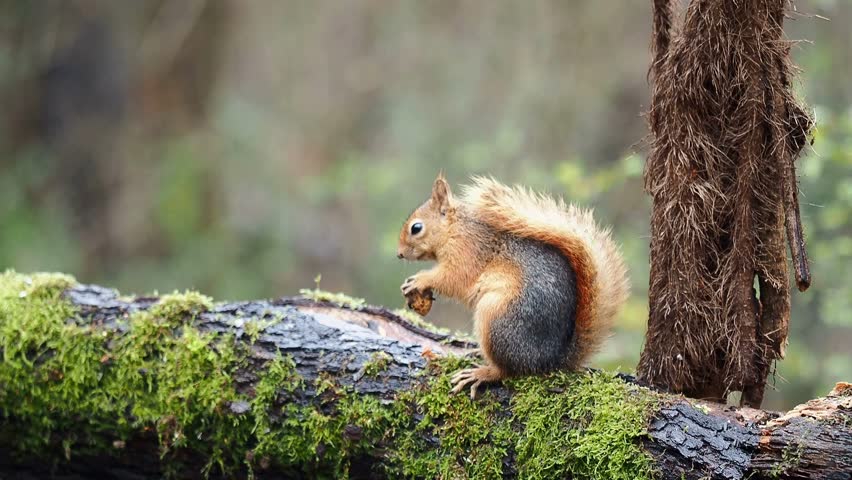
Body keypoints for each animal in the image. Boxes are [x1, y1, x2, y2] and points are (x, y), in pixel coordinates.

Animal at [397, 172, 629, 398]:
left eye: (416, 228)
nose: (399, 254)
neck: (456, 227)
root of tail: (550, 361)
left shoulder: (466, 252)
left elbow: (451, 278)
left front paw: (419, 280)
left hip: (495, 317)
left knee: (508, 371)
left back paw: (481, 373)